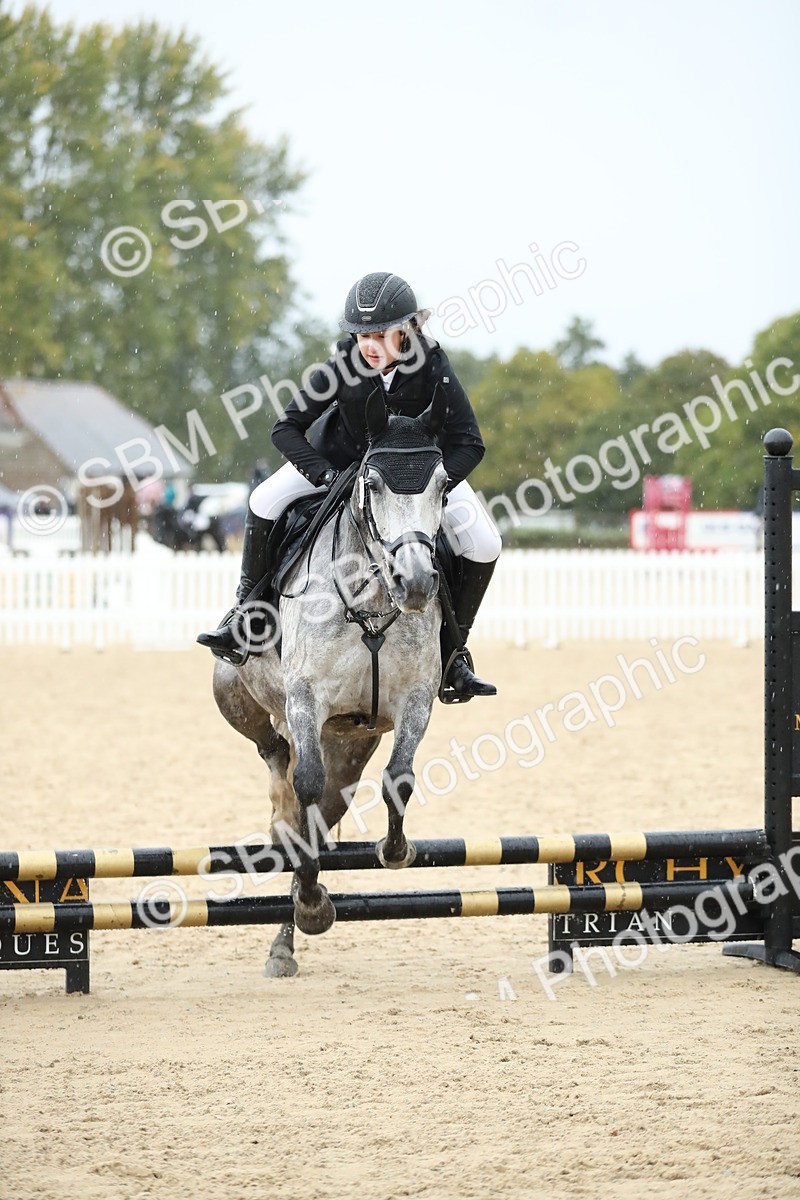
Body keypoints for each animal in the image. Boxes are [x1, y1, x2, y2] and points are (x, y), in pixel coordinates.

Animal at [211, 386, 449, 976]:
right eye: (372, 483)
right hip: (237, 694)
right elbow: (305, 784)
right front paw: (316, 906)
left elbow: (399, 779)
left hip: (350, 743)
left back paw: (287, 936)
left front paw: (395, 852)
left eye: (442, 485)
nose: (415, 583)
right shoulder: (304, 699)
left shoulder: (415, 701)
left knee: (320, 814)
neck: (371, 599)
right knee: (279, 768)